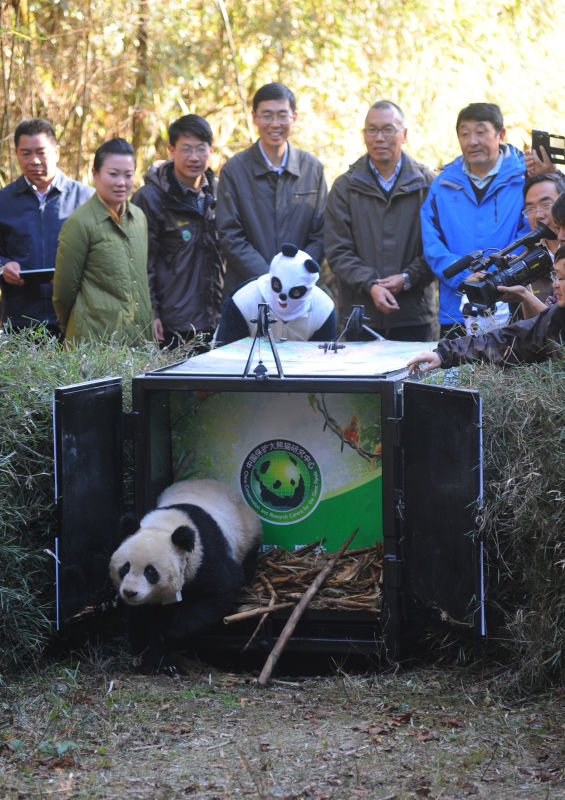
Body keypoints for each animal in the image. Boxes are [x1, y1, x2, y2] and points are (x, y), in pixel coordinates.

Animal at [109, 482, 264, 676]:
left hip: (247, 531)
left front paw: (174, 633)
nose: (130, 592)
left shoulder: (205, 556)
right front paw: (160, 663)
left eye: (150, 572)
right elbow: (143, 623)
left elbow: (218, 592)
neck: (164, 526)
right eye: (125, 568)